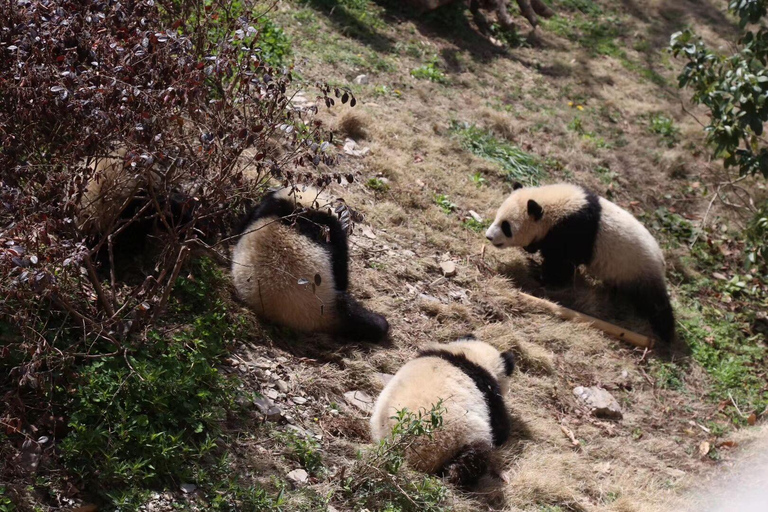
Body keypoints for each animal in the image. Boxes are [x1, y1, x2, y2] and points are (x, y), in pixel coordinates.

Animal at [231, 186, 389, 342]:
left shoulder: (268, 207)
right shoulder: (328, 228)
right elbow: (340, 268)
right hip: (326, 302)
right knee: (356, 316)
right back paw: (379, 323)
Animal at [370, 339, 515, 488]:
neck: (471, 356)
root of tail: (405, 456)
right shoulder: (487, 390)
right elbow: (500, 426)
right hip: (458, 435)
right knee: (474, 458)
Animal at [485, 182, 675, 344]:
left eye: (506, 227)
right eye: (497, 218)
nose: (489, 236)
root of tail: (662, 261)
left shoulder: (573, 231)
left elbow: (560, 263)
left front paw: (541, 277)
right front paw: (532, 255)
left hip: (637, 268)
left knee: (654, 301)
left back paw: (666, 332)